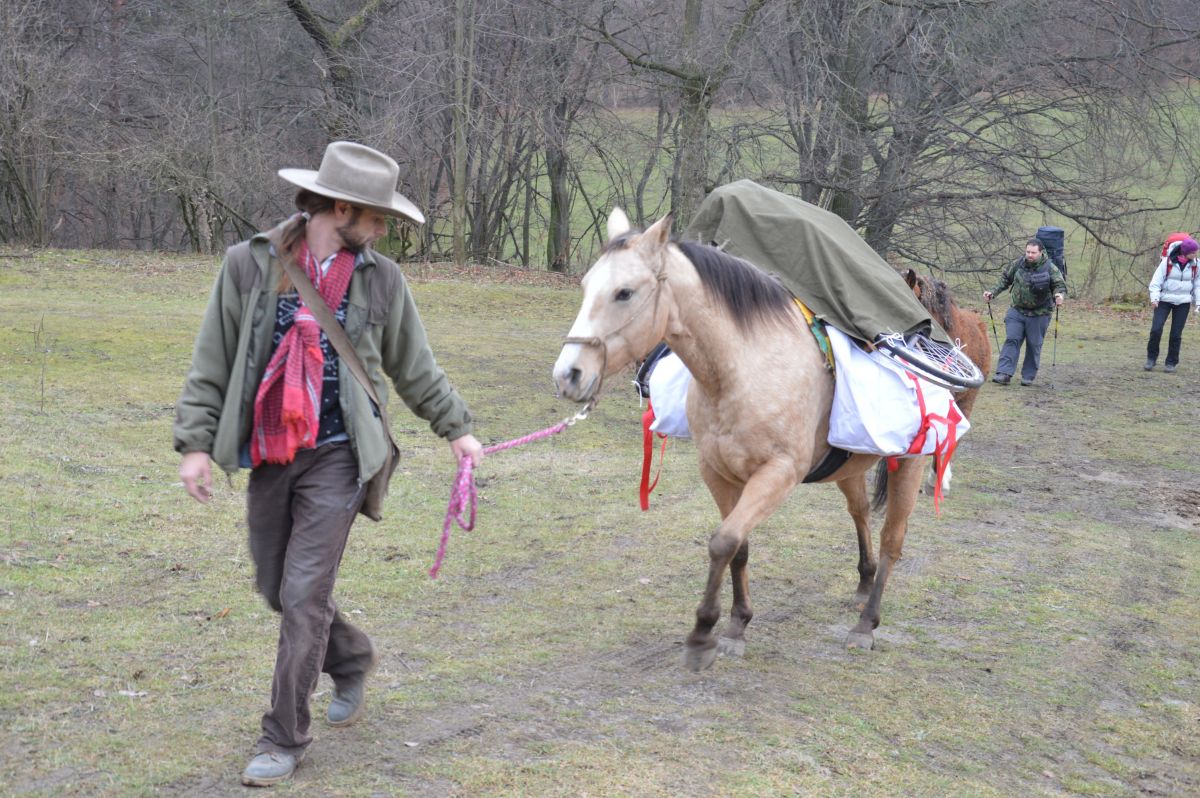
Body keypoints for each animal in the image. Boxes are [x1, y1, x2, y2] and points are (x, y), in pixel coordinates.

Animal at [552, 208, 926, 667]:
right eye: (586, 286)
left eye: (624, 292)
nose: (568, 375)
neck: (742, 371)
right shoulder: (718, 473)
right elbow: (738, 547)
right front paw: (736, 625)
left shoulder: (777, 474)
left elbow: (723, 541)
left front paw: (703, 633)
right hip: (850, 467)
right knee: (859, 514)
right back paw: (862, 584)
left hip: (909, 464)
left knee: (893, 539)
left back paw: (866, 623)